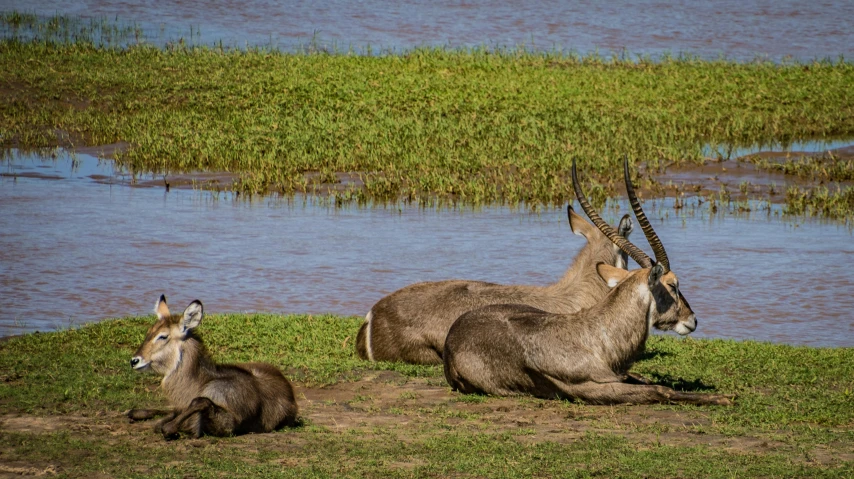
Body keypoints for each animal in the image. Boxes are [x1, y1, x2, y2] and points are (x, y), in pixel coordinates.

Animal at [125, 296, 300, 438]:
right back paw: (133, 412)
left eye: (163, 336)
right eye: (149, 332)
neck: (201, 383)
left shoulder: (229, 425)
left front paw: (170, 428)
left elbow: (200, 402)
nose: (134, 360)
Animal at [442, 159, 736, 406]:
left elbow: (647, 380)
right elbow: (658, 390)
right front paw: (724, 397)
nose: (692, 319)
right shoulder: (592, 389)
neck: (594, 336)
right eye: (673, 285)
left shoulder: (619, 376)